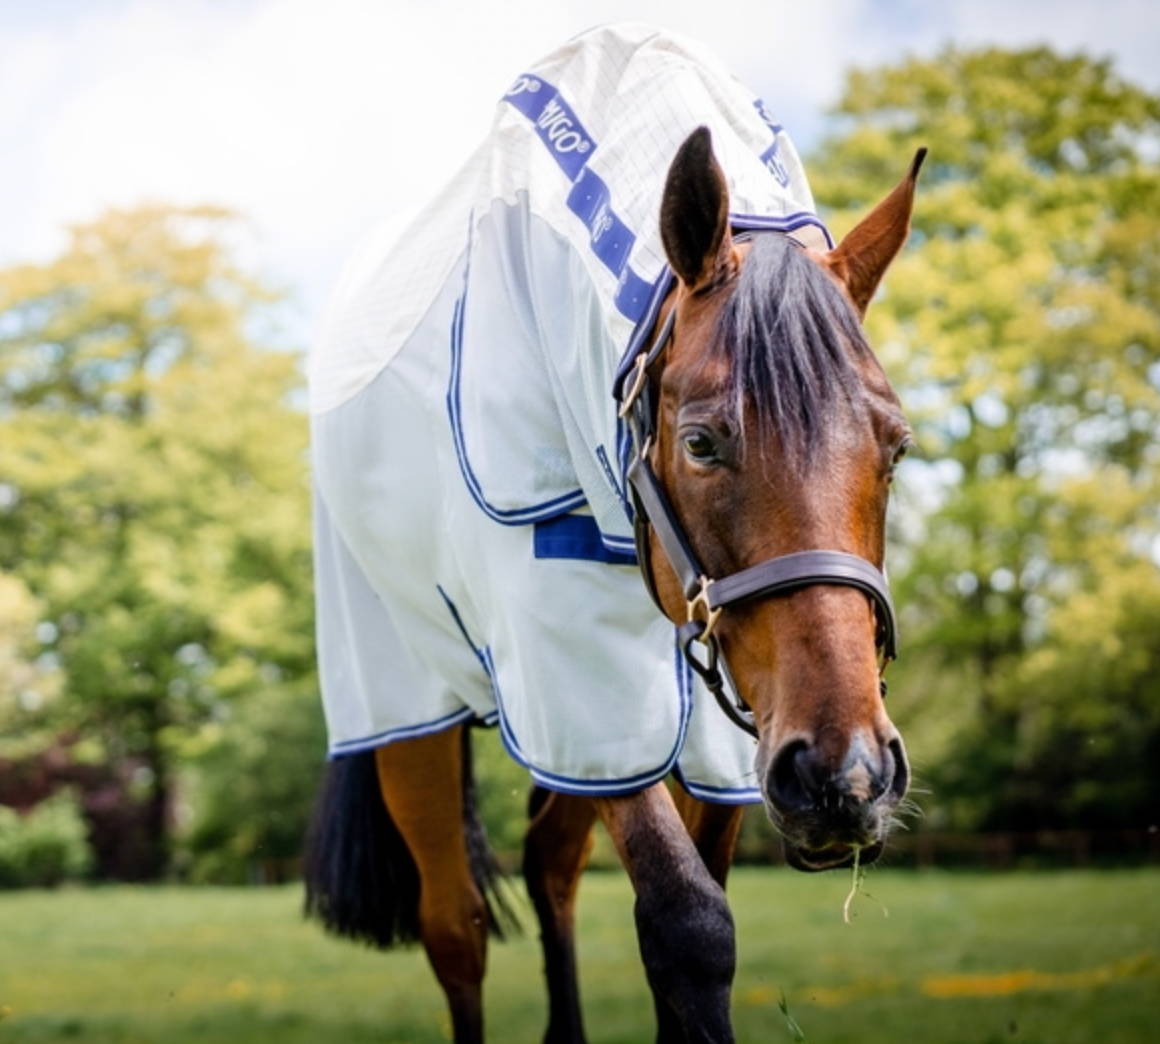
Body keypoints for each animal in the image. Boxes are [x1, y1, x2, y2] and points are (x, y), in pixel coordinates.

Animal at [304, 24, 923, 1044]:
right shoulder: (578, 679)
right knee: (454, 927)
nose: (849, 774)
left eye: (897, 445)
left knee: (548, 862)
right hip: (408, 707)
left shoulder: (722, 733)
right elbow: (690, 927)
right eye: (702, 440)